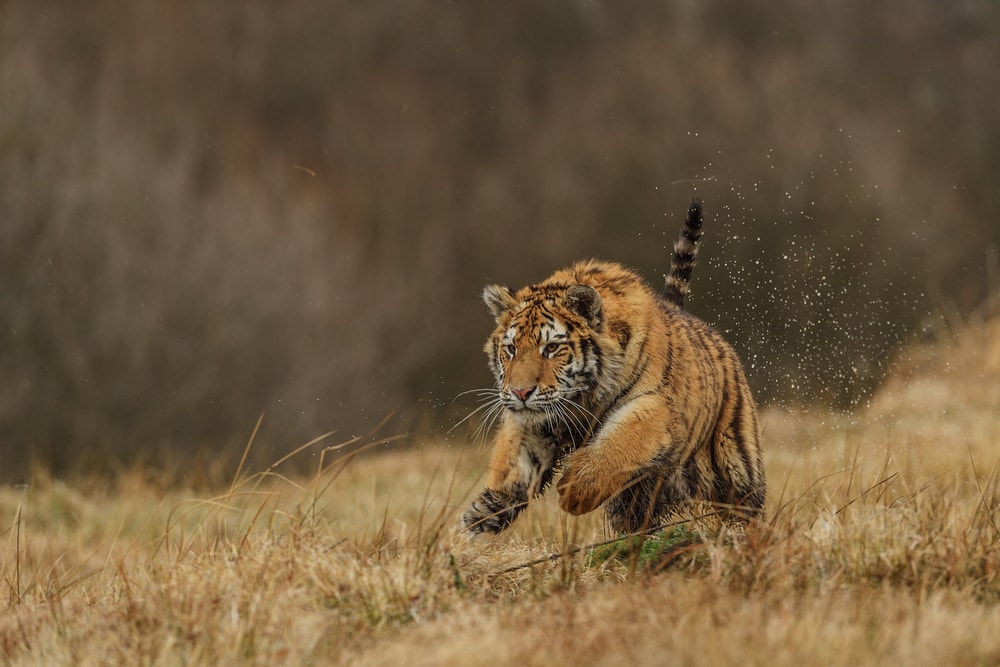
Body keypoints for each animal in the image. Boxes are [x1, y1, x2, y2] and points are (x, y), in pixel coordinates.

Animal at [461, 199, 766, 535]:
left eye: (551, 348)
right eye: (511, 350)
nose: (520, 392)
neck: (583, 398)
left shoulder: (655, 405)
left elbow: (618, 444)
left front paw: (573, 491)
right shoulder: (536, 418)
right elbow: (516, 458)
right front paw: (486, 509)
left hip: (736, 465)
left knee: (743, 504)